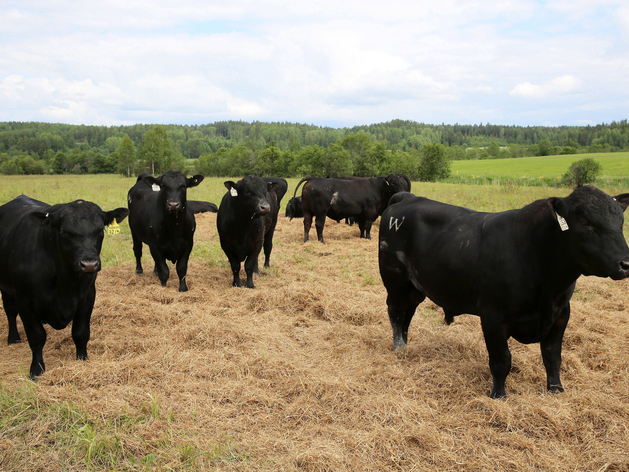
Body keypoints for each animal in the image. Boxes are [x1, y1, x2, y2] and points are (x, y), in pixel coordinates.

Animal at [378, 187, 628, 398]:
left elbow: (552, 357)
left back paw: (406, 346)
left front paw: (556, 389)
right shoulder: (493, 317)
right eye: (586, 223)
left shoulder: (561, 314)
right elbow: (501, 361)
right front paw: (498, 395)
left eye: (621, 222)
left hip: (414, 288)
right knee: (396, 313)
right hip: (395, 280)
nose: (625, 263)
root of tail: (408, 197)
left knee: (407, 314)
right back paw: (398, 348)